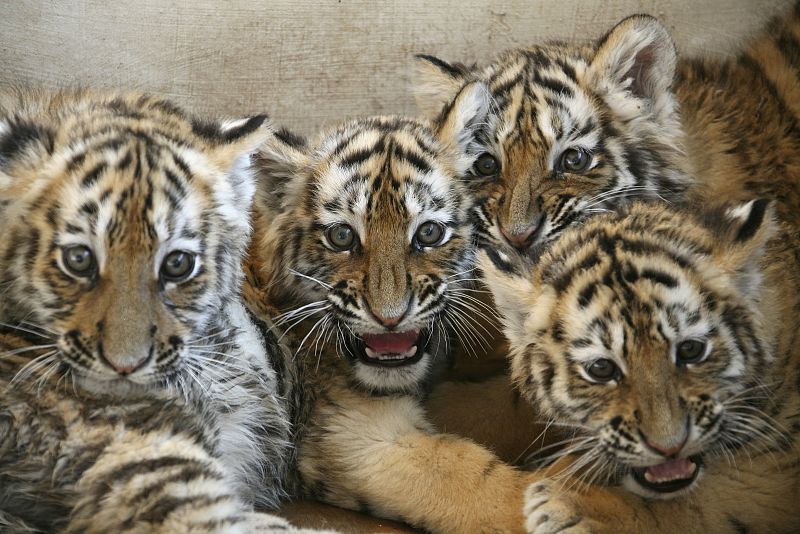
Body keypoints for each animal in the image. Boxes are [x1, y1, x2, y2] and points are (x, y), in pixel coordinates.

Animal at [479, 199, 800, 533]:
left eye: (691, 350)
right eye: (602, 369)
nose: (670, 447)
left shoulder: (771, 470)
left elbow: (695, 508)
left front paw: (568, 506)